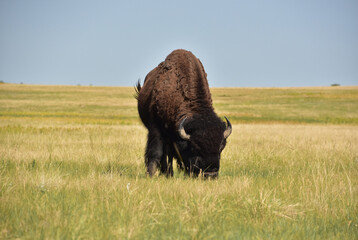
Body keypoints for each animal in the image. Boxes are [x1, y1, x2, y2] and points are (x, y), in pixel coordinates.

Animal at [135, 48, 232, 177]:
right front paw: (150, 174)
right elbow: (156, 151)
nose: (210, 174)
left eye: (221, 147)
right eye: (195, 147)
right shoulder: (156, 128)